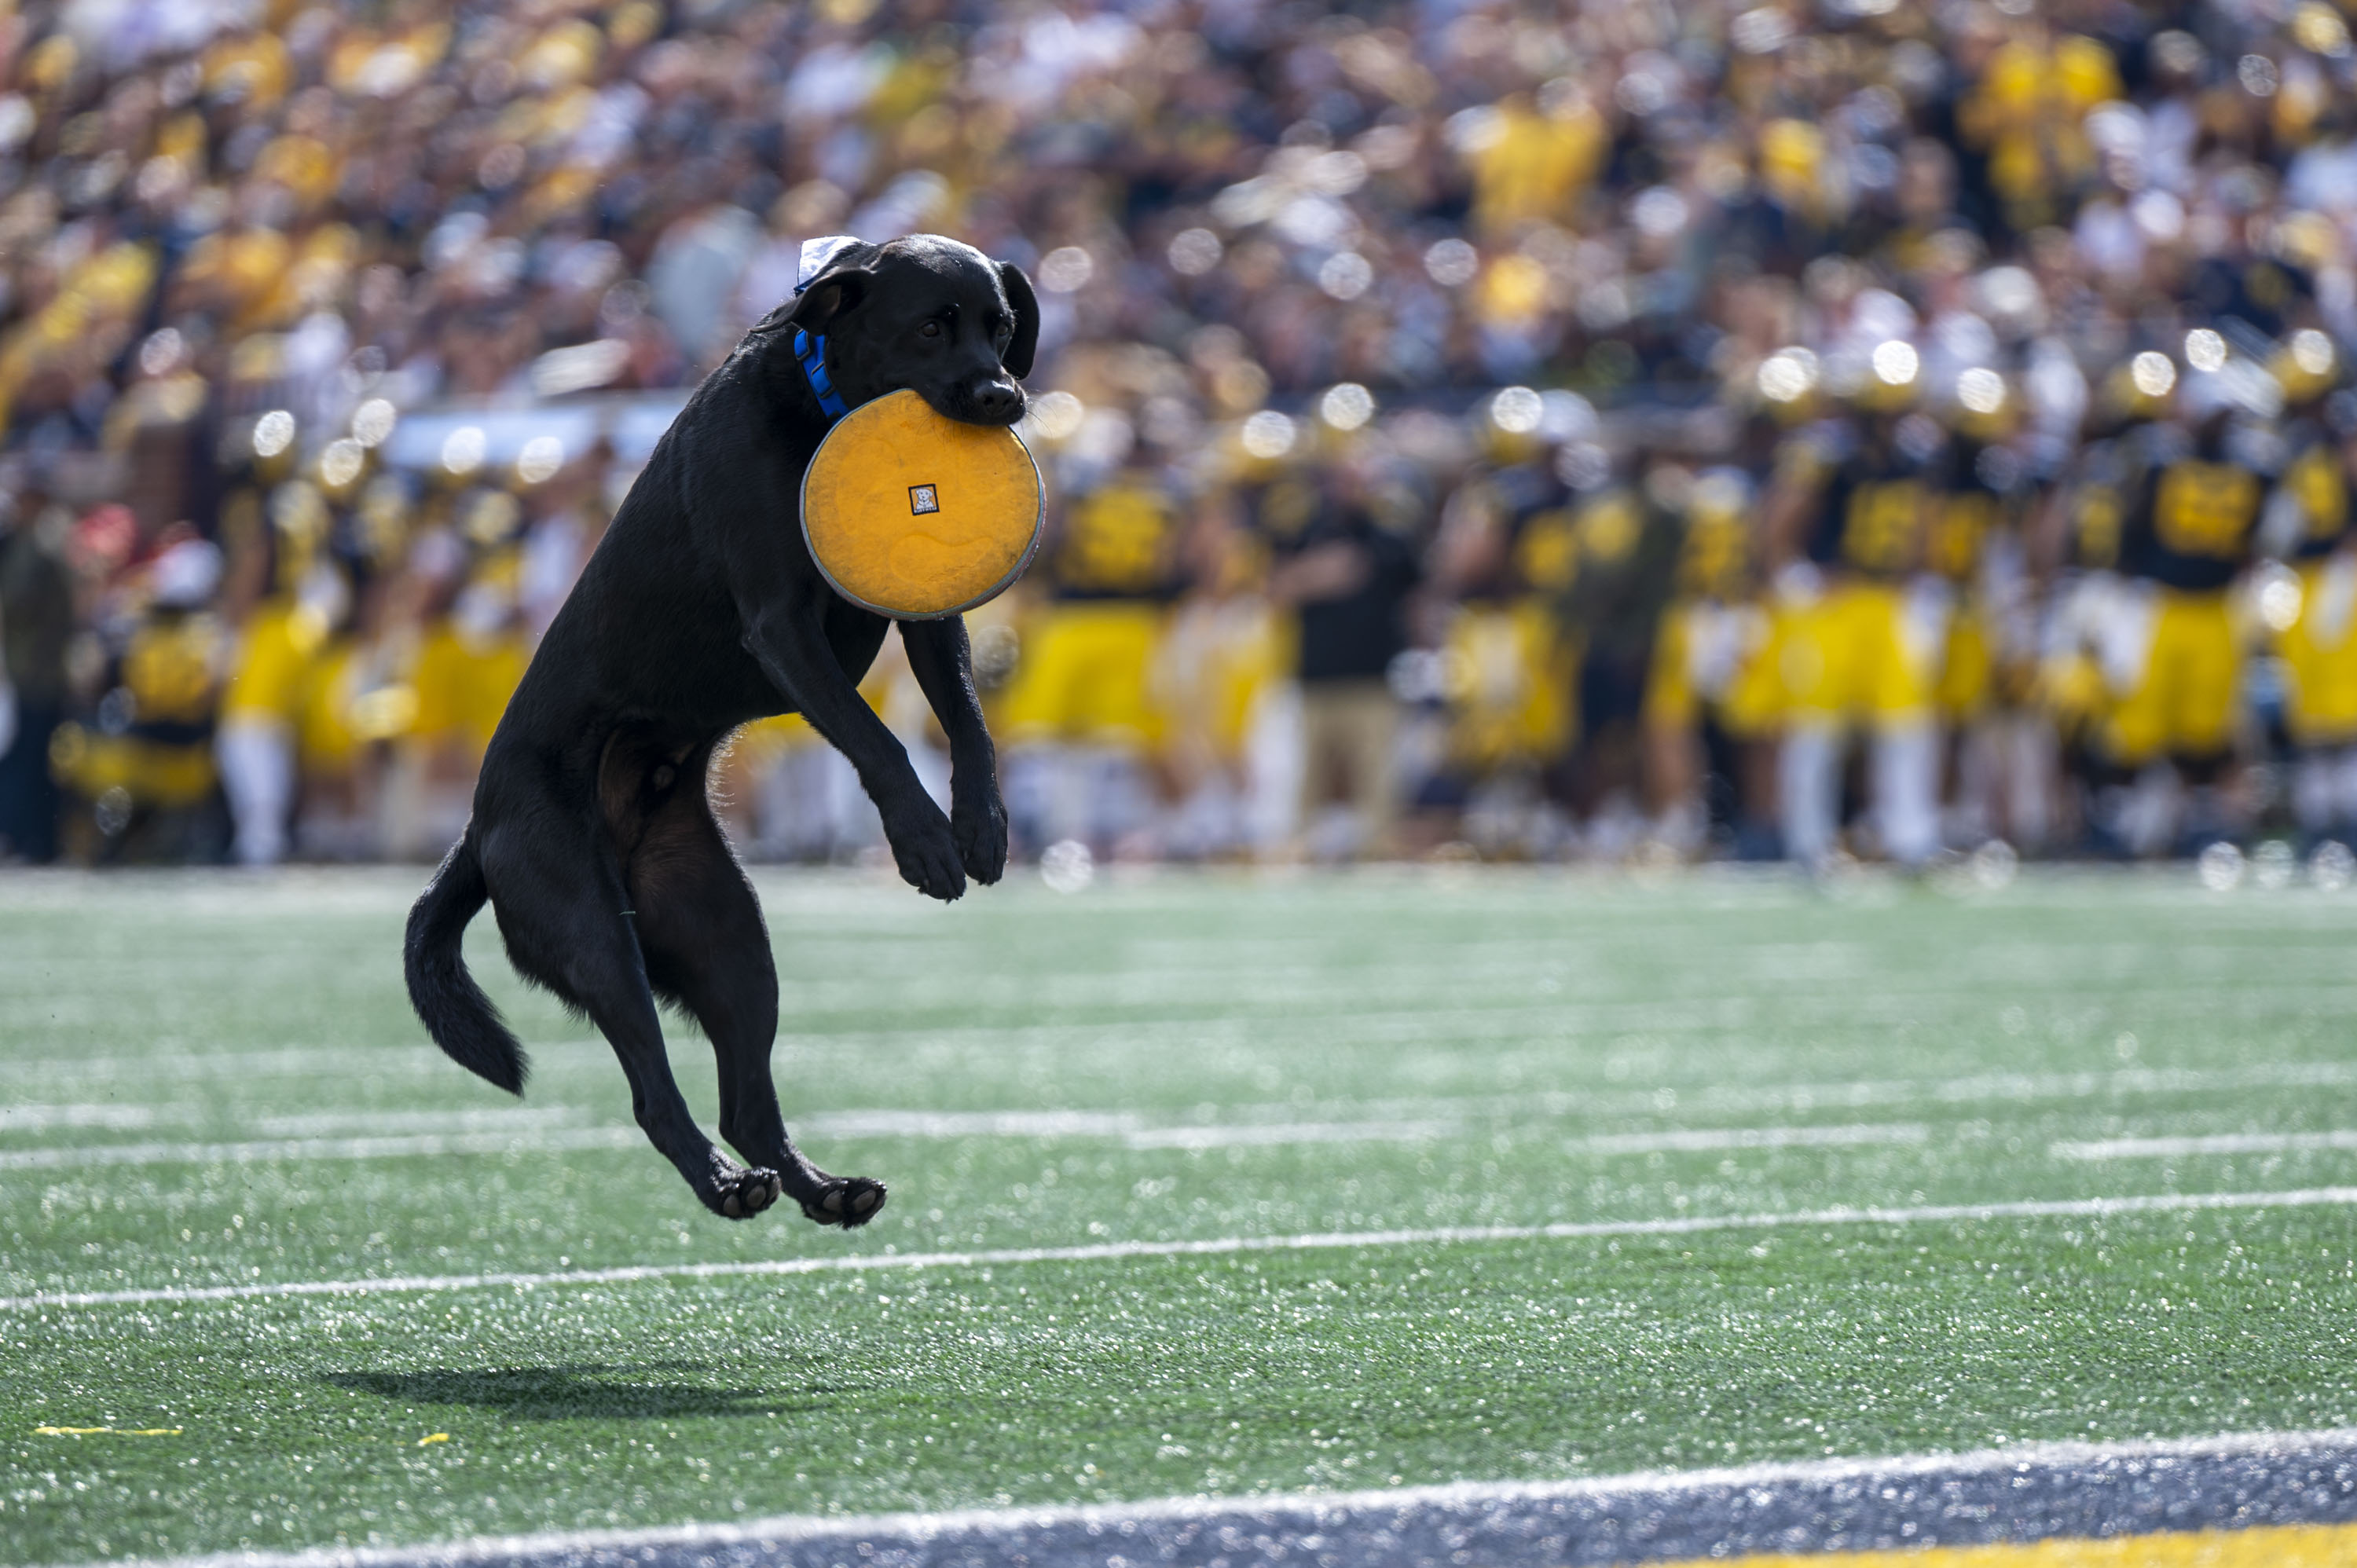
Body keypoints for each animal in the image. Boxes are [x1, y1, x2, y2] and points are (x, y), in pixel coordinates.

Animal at [410, 236, 1037, 1225]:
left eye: (1002, 328)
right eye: (933, 326)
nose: (1005, 397)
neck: (815, 402)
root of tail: (475, 830)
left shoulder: (927, 612)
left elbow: (967, 722)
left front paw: (982, 825)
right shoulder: (781, 625)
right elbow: (878, 738)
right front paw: (924, 841)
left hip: (724, 935)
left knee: (747, 1102)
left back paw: (826, 1190)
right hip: (591, 928)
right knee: (654, 1091)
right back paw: (725, 1184)